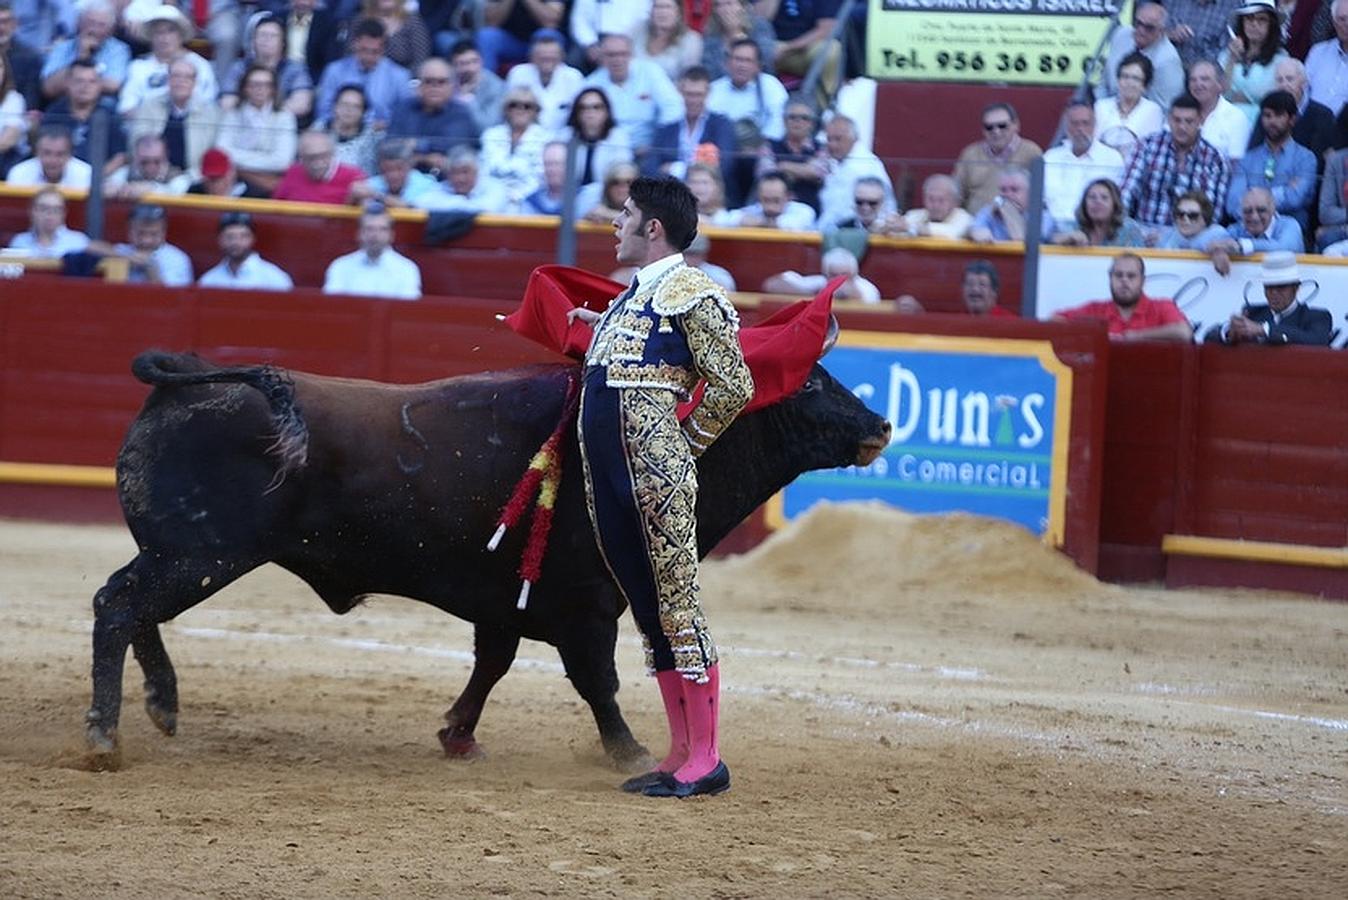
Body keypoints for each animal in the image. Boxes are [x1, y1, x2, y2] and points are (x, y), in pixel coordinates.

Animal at [81, 344, 884, 765]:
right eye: (813, 383)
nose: (880, 423)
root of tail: (193, 376)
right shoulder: (587, 607)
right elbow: (598, 682)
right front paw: (628, 751)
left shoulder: (505, 604)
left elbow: (491, 666)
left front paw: (456, 735)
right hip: (199, 554)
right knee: (118, 606)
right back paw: (104, 735)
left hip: (182, 555)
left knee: (133, 610)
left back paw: (162, 707)